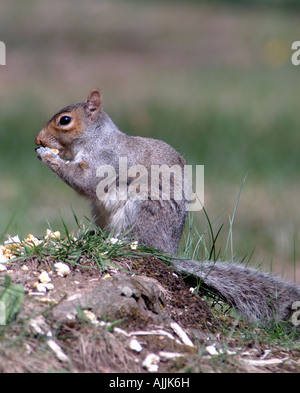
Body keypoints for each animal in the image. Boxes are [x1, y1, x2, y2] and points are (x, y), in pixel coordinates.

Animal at [35, 88, 300, 324]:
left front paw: (49, 156)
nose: (37, 139)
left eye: (65, 120)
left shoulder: (106, 160)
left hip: (143, 210)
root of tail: (168, 251)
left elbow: (85, 181)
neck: (96, 139)